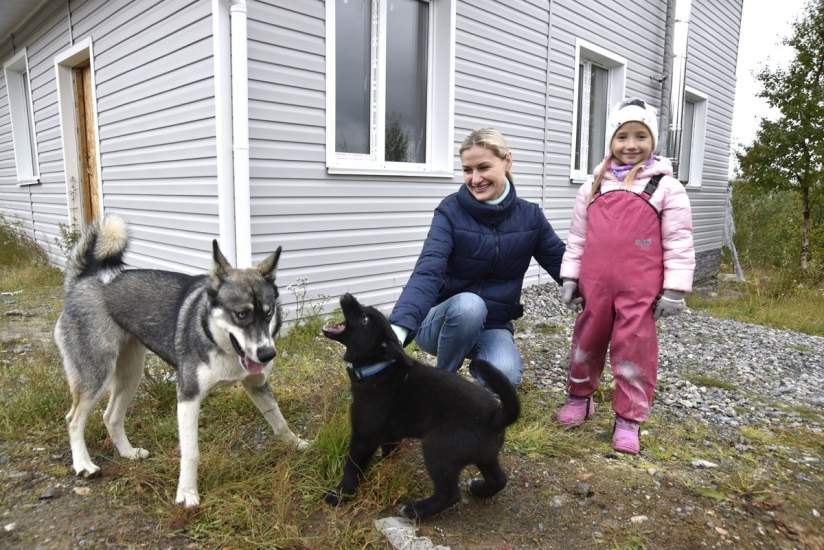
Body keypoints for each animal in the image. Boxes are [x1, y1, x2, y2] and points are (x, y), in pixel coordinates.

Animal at [318, 294, 520, 520]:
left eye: (365, 319)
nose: (346, 296)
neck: (377, 367)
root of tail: (496, 416)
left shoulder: (363, 435)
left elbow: (352, 468)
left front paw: (339, 494)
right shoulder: (388, 434)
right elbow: (389, 451)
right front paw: (384, 464)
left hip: (437, 447)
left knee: (450, 494)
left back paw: (415, 510)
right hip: (485, 454)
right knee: (499, 479)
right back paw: (479, 489)